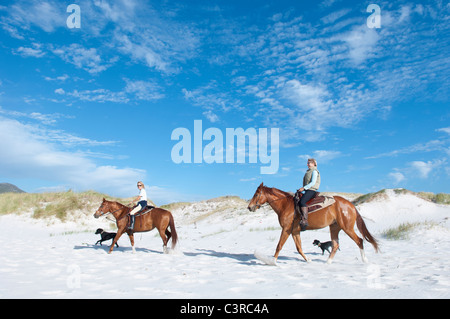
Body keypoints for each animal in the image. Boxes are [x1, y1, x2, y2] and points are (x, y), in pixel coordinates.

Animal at [248, 184, 378, 266]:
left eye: (256, 194)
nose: (249, 207)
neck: (285, 205)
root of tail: (351, 205)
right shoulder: (295, 231)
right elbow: (299, 248)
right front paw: (309, 260)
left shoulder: (286, 229)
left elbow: (279, 245)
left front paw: (272, 262)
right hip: (334, 227)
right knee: (335, 245)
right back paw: (328, 262)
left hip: (347, 228)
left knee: (359, 240)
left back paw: (365, 260)